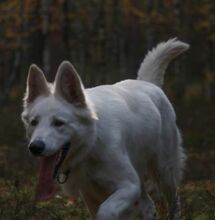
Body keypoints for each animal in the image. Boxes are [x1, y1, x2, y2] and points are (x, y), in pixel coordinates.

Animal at [21, 38, 189, 219]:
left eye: (58, 123)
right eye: (34, 122)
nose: (35, 147)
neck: (91, 144)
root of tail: (147, 83)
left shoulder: (129, 184)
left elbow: (106, 211)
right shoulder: (90, 194)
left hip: (164, 171)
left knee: (174, 202)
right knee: (149, 206)